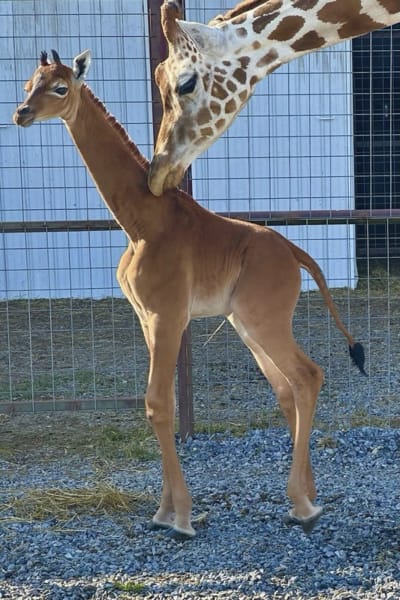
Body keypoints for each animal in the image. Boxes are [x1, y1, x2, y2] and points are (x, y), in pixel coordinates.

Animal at [13, 50, 366, 540]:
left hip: (265, 319)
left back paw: (302, 505)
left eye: (60, 87)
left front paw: (179, 517)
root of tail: (295, 253)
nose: (21, 113)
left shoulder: (168, 315)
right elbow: (161, 404)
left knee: (307, 375)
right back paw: (309, 496)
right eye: (28, 83)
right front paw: (164, 511)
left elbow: (158, 403)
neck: (141, 222)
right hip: (245, 324)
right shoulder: (147, 318)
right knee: (286, 386)